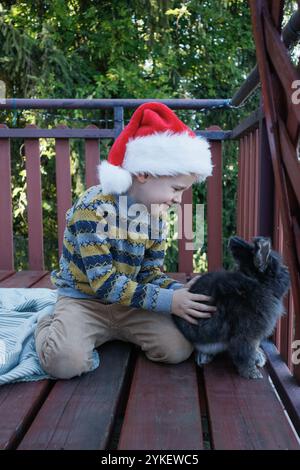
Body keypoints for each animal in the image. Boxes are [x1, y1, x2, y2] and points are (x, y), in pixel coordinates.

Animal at [171, 235, 290, 378]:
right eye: (277, 270)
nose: (287, 273)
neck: (257, 282)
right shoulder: (245, 335)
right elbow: (245, 353)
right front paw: (252, 374)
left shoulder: (253, 337)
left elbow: (253, 348)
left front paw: (257, 359)